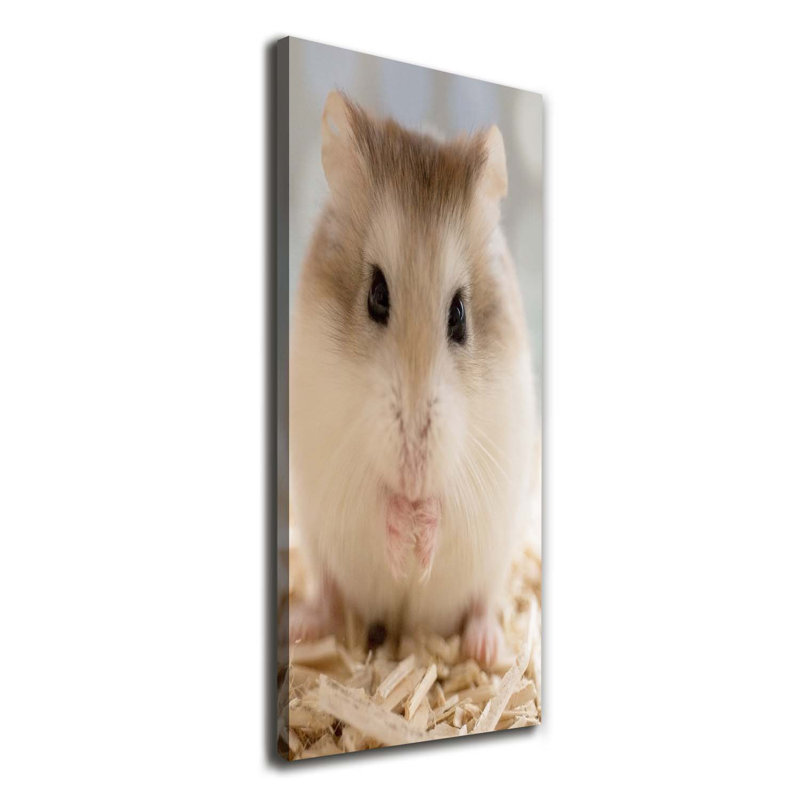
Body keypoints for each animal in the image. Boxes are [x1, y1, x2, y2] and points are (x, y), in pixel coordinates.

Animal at [289, 91, 537, 665]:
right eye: (377, 295)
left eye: (459, 314)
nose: (414, 471)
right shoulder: (338, 458)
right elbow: (376, 498)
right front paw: (404, 537)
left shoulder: (486, 467)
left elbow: (449, 505)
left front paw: (419, 544)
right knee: (330, 593)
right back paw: (302, 625)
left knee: (483, 601)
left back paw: (488, 649)